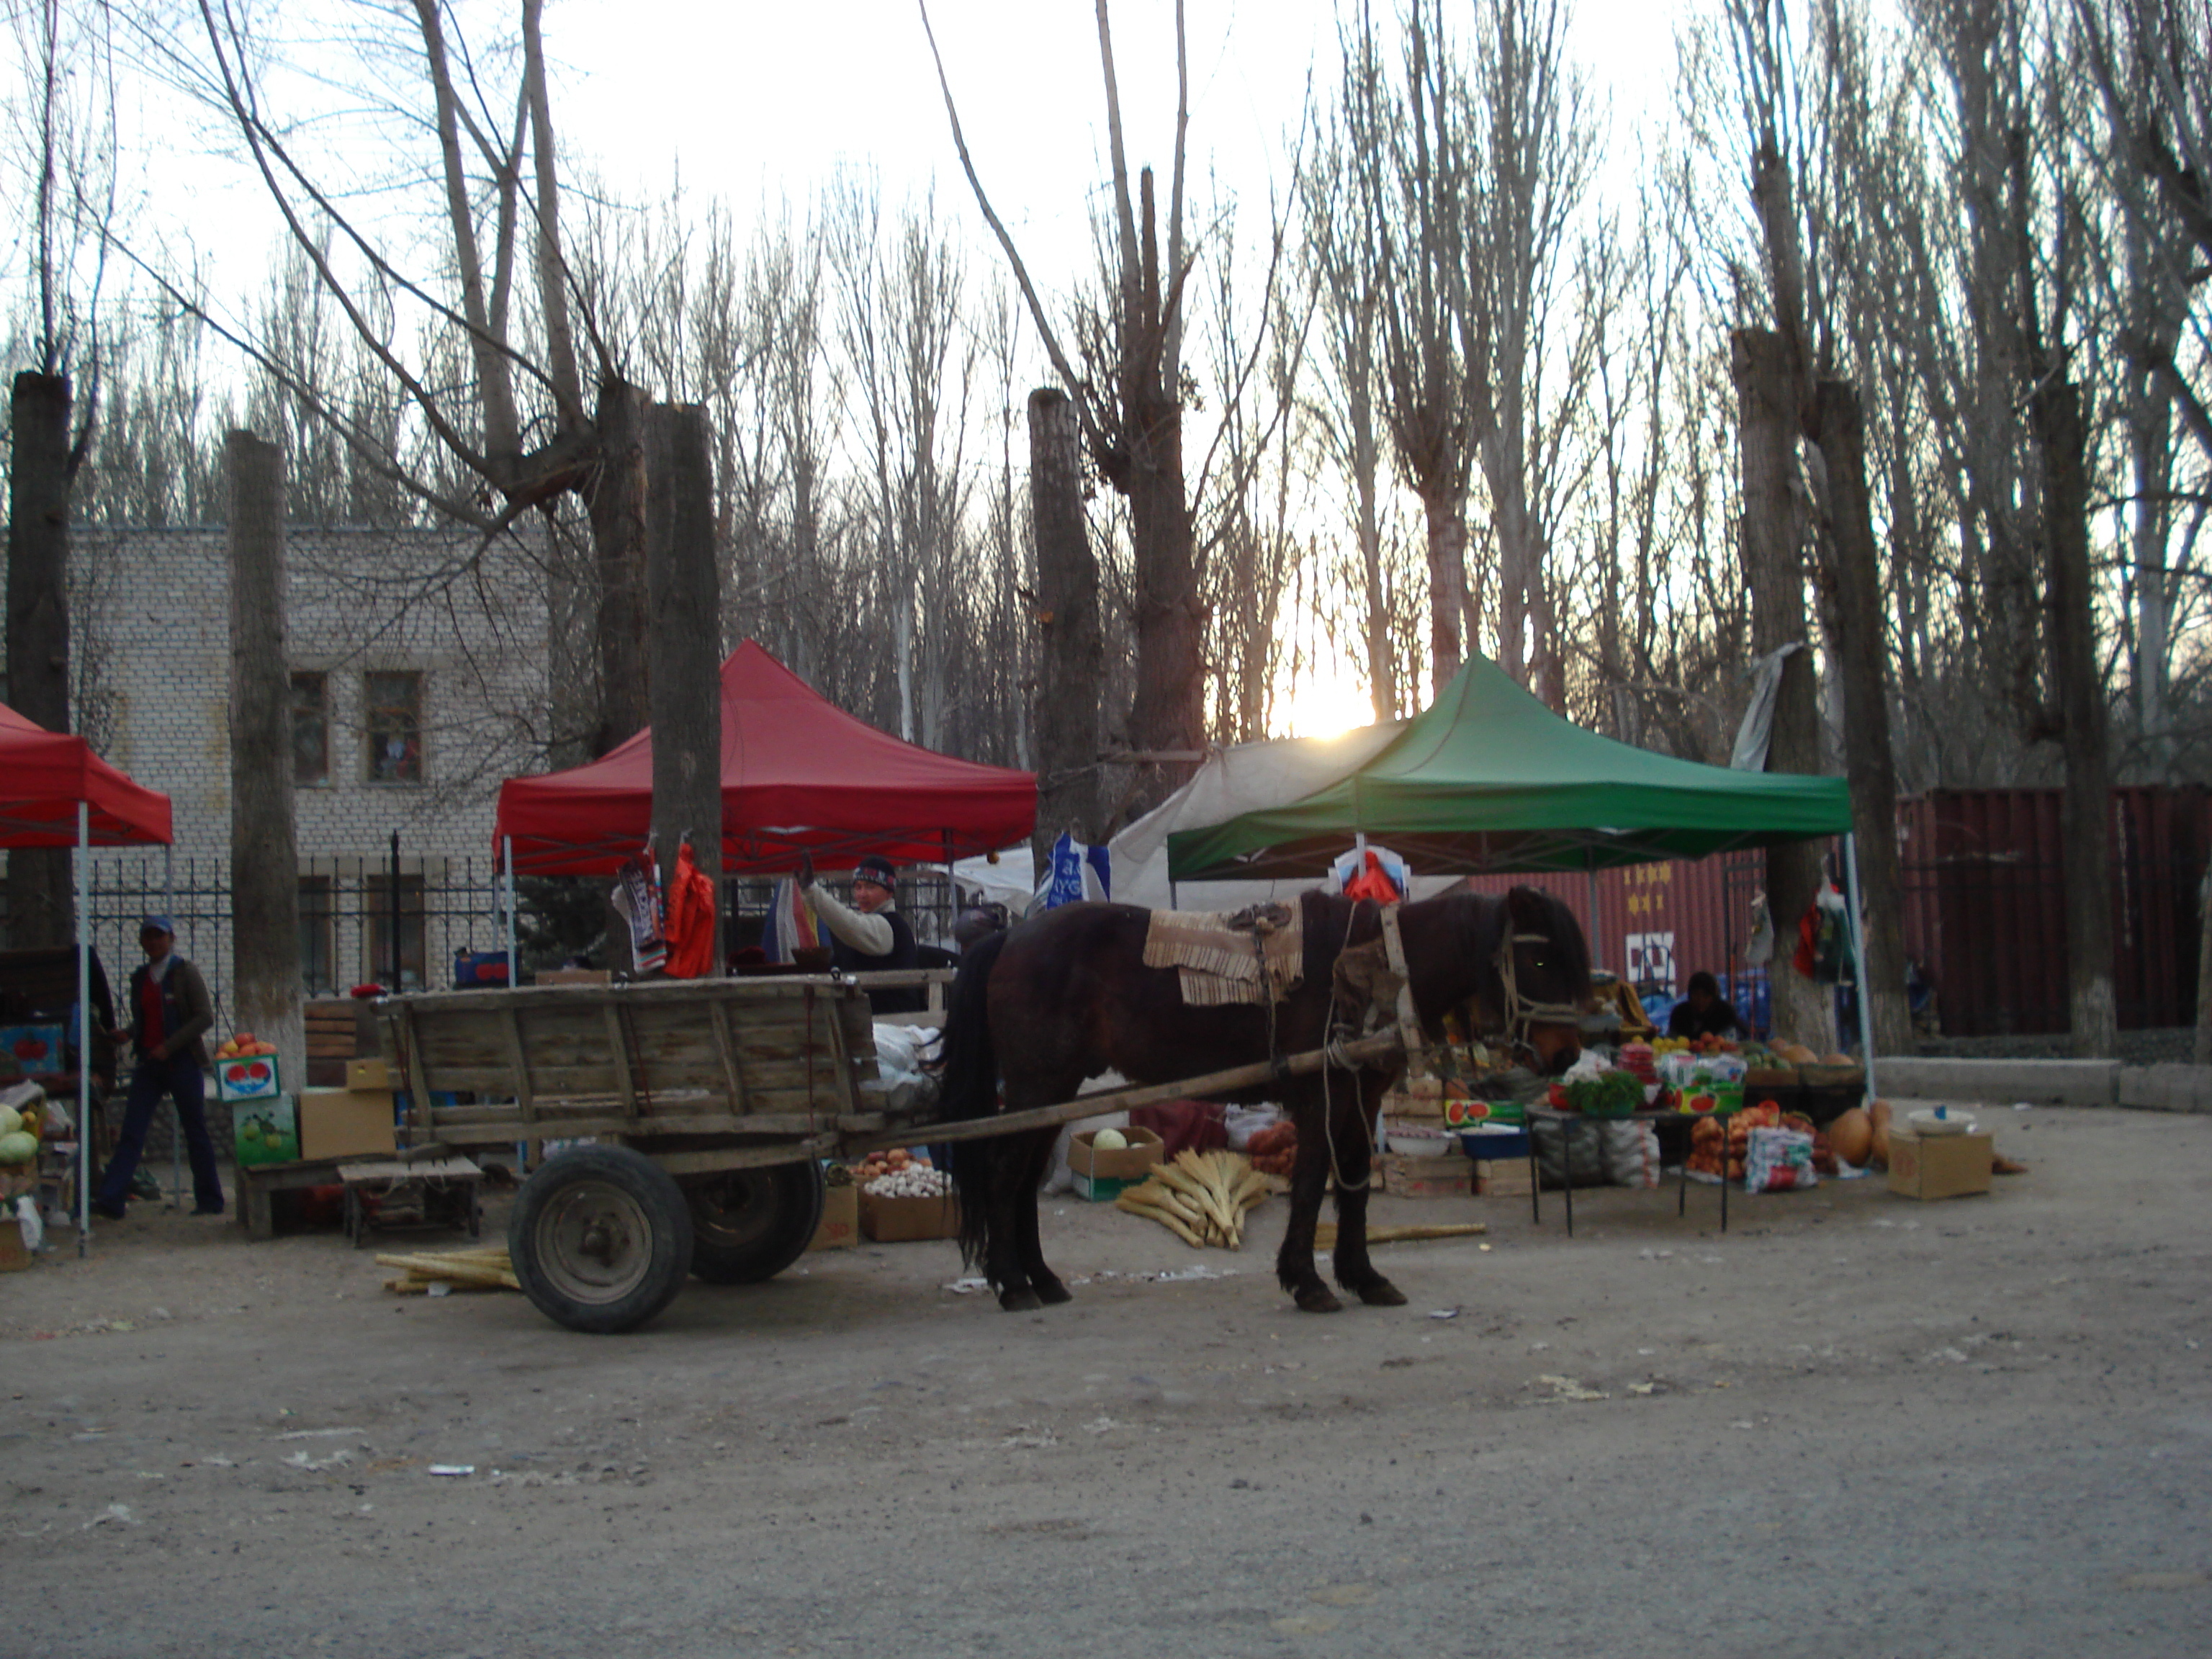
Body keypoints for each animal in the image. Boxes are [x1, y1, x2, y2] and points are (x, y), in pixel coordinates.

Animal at [929, 889, 1592, 1318]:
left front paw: (1363, 1275)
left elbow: (1353, 1183)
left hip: (1054, 1092)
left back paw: (1041, 1278)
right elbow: (1312, 1182)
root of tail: (1009, 935)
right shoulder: (1320, 1096)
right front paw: (1306, 1281)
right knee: (1005, 1174)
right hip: (1037, 1085)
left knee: (1022, 1180)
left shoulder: (1362, 1096)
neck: (1374, 963)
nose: (1566, 1054)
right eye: (1538, 957)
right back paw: (1012, 1282)